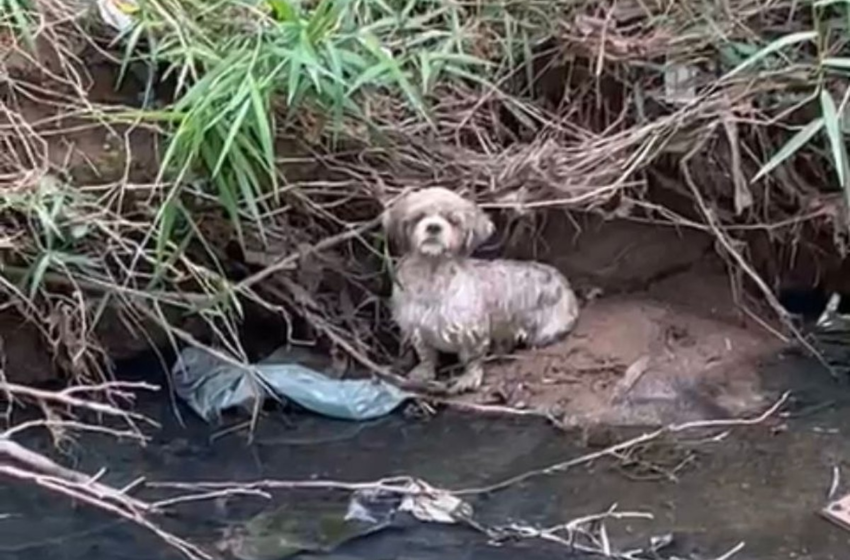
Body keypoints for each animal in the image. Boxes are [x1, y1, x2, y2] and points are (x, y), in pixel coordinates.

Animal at [380, 188, 580, 394]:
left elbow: (472, 359)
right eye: (418, 217)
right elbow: (426, 354)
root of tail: (562, 280)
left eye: (453, 220)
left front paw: (469, 378)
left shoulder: (473, 331)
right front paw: (423, 372)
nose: (434, 227)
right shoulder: (416, 327)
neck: (432, 274)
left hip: (543, 334)